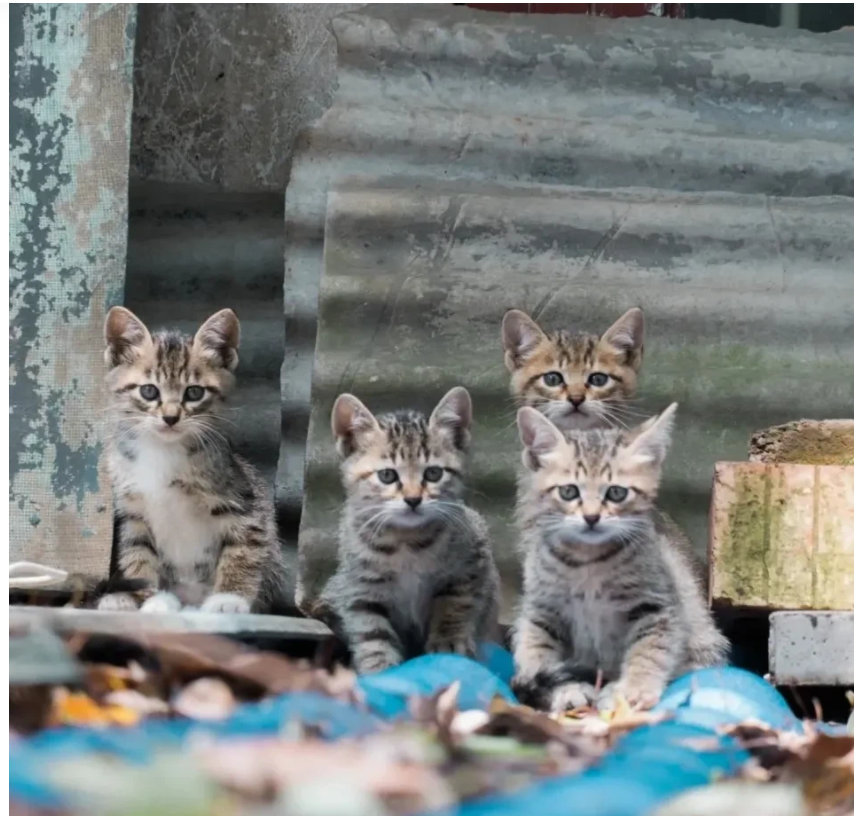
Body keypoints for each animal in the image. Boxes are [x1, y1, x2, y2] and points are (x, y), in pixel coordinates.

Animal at [98, 306, 288, 612]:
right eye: (149, 391)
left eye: (194, 392)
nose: (170, 417)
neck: (162, 451)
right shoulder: (132, 512)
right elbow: (138, 555)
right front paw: (152, 602)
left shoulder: (243, 503)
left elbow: (244, 551)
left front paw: (229, 600)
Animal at [322, 388, 498, 676]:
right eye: (387, 476)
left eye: (434, 473)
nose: (413, 499)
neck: (406, 542)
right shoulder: (359, 588)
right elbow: (371, 632)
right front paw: (379, 669)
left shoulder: (473, 562)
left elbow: (456, 603)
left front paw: (448, 641)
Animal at [512, 404, 724, 712]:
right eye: (568, 491)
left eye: (616, 492)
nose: (591, 517)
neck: (586, 561)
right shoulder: (542, 610)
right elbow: (537, 654)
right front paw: (565, 690)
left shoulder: (657, 605)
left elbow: (650, 650)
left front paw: (632, 690)